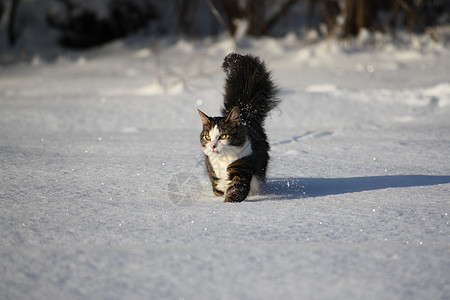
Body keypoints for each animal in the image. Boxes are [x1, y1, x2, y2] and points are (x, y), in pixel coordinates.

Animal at [197, 53, 278, 203]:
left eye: (223, 136)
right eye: (208, 137)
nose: (213, 146)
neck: (223, 160)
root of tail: (244, 113)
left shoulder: (242, 169)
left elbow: (236, 191)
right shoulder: (213, 172)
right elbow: (217, 189)